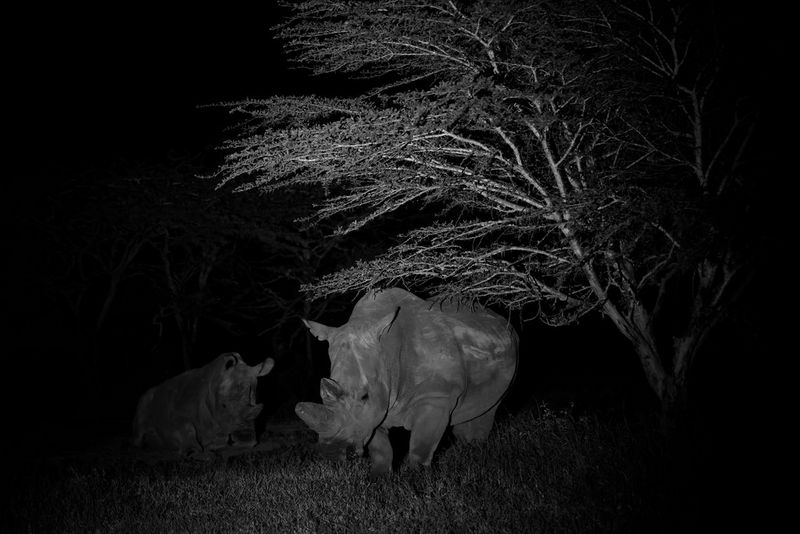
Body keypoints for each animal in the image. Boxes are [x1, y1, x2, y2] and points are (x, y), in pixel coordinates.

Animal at [132, 352, 274, 456]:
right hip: (145, 398)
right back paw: (139, 448)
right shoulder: (177, 413)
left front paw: (214, 446)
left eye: (254, 402)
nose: (245, 441)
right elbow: (186, 427)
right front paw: (191, 451)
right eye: (224, 406)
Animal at [296, 288, 518, 478]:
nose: (330, 452)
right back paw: (468, 453)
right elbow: (380, 449)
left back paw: (476, 454)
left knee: (489, 408)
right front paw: (378, 480)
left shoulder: (436, 397)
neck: (386, 353)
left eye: (364, 395)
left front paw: (416, 481)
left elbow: (421, 446)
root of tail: (497, 316)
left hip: (512, 345)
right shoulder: (374, 410)